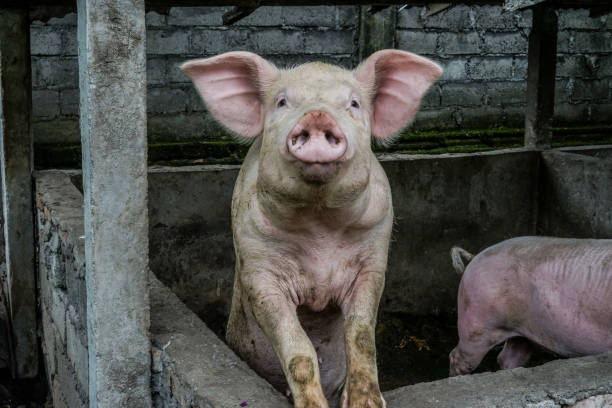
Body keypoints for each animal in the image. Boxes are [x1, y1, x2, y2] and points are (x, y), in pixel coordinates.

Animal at [179, 49, 442, 406]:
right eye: (281, 102)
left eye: (354, 103)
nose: (317, 117)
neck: (320, 228)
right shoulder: (259, 272)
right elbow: (299, 350)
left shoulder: (373, 262)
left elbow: (361, 335)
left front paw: (366, 404)